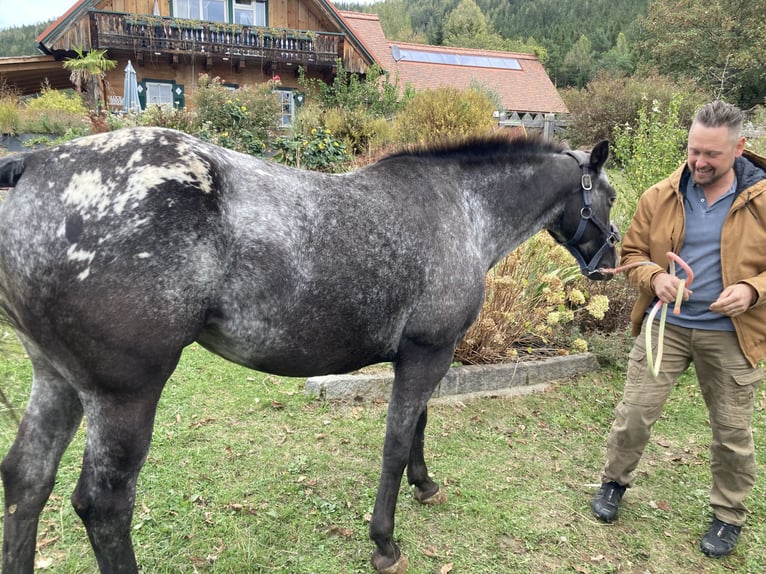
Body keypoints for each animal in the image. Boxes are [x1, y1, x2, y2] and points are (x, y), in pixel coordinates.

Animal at [0, 128, 620, 572]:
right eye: (609, 197)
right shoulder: (427, 353)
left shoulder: (426, 355)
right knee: (103, 506)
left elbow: (418, 424)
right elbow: (397, 442)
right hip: (124, 396)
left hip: (57, 381)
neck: (461, 208)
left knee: (26, 481)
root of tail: (34, 164)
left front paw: (425, 485)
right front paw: (384, 543)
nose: (612, 260)